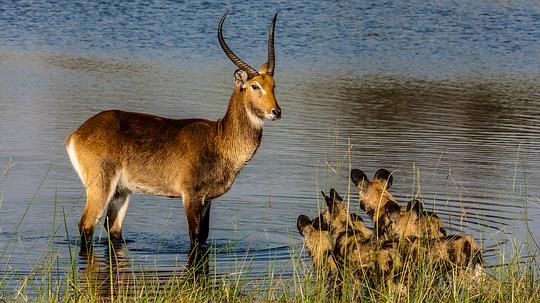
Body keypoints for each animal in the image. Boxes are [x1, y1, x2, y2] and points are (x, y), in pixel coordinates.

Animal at [65, 11, 280, 252]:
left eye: (273, 85)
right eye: (255, 86)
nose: (276, 111)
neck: (219, 139)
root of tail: (77, 133)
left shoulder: (207, 200)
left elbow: (203, 237)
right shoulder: (191, 196)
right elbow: (194, 239)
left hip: (121, 192)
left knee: (113, 230)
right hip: (100, 187)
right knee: (86, 225)